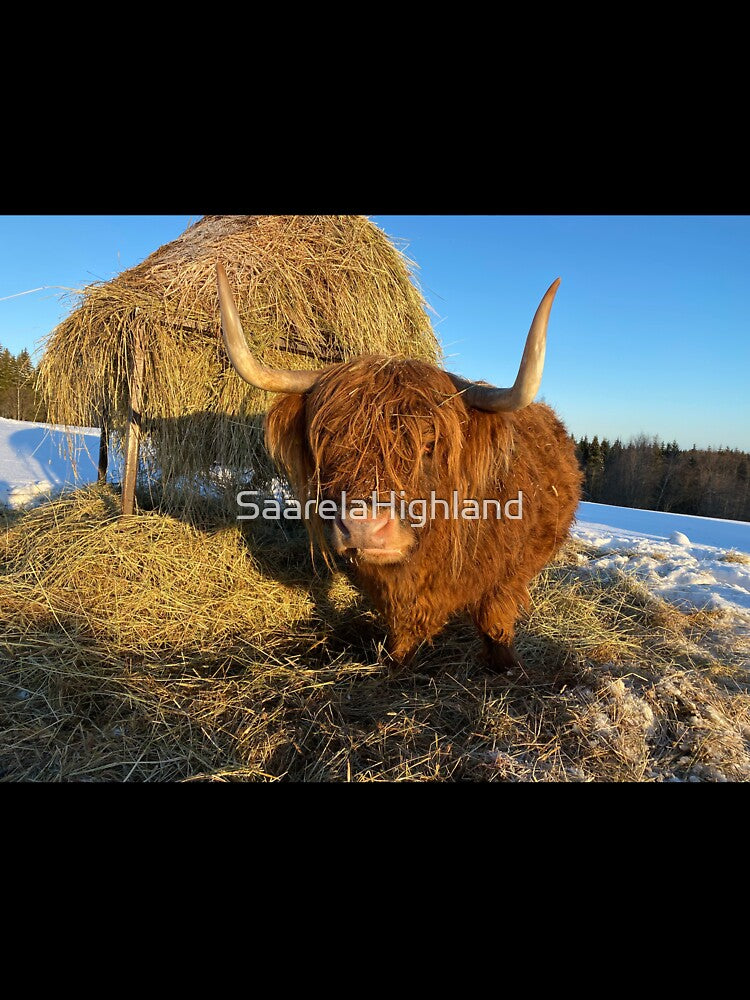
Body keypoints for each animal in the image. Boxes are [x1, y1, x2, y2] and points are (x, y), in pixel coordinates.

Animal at [216, 263, 582, 671]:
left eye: (429, 444)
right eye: (329, 441)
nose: (363, 527)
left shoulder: (506, 576)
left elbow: (495, 618)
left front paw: (503, 664)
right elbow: (401, 622)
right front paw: (398, 661)